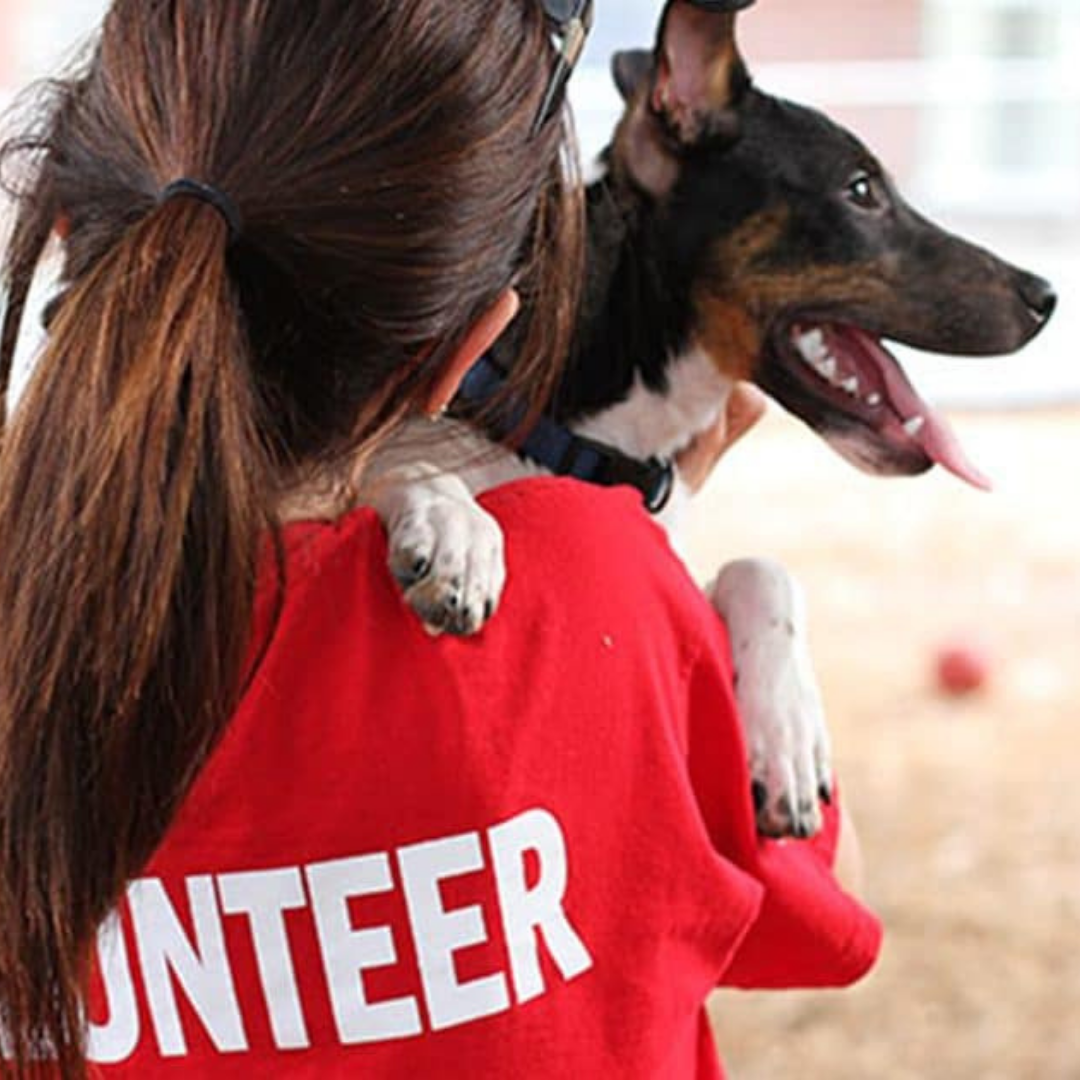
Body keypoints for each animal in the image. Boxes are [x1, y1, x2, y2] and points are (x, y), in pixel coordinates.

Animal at [356, 0, 1054, 838]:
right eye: (859, 189)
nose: (1048, 296)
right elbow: (409, 461)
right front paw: (456, 533)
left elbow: (765, 569)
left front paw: (787, 737)